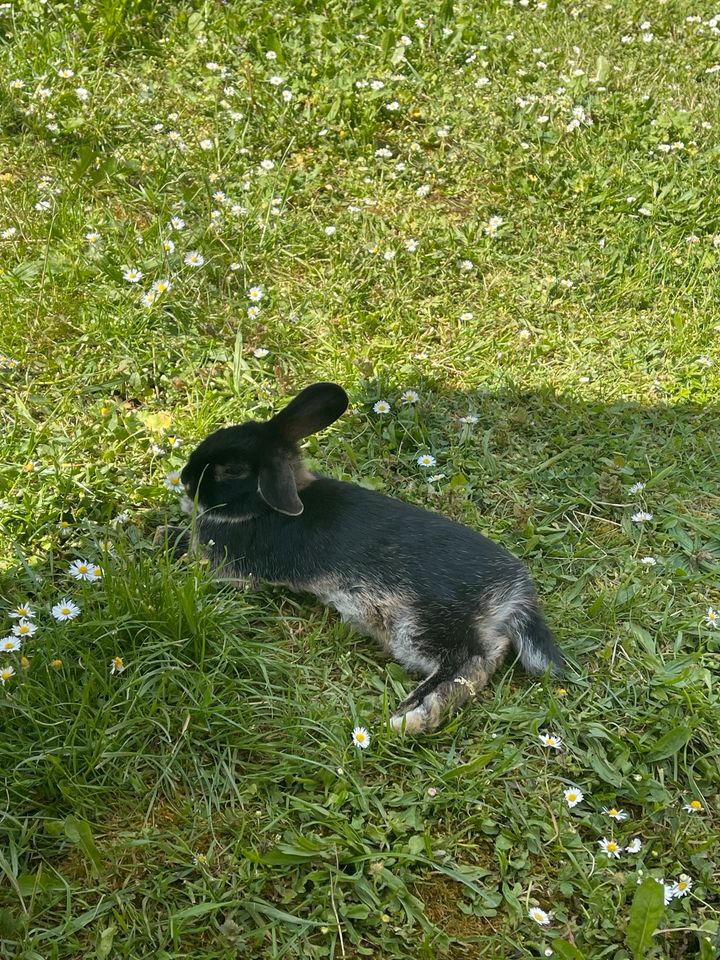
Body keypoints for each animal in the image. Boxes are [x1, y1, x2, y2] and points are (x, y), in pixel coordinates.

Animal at [158, 382, 564, 736]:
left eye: (232, 471)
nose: (186, 479)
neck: (259, 508)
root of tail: (514, 593)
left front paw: (162, 536)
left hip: (423, 624)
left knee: (471, 660)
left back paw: (410, 717)